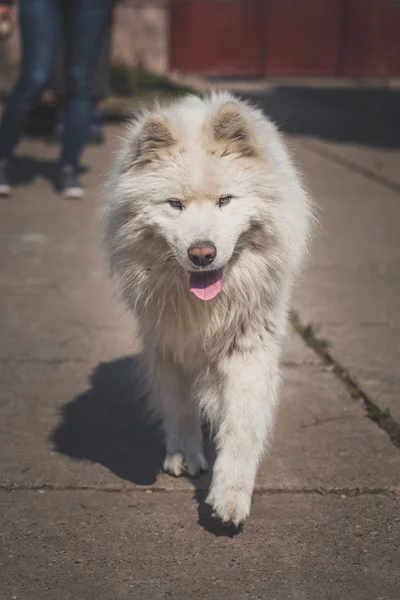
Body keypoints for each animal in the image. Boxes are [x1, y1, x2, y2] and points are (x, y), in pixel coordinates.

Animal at [104, 91, 310, 528]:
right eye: (175, 205)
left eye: (225, 201)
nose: (202, 254)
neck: (207, 308)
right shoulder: (167, 342)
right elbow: (178, 404)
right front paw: (184, 454)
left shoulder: (250, 348)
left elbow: (243, 427)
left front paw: (230, 497)